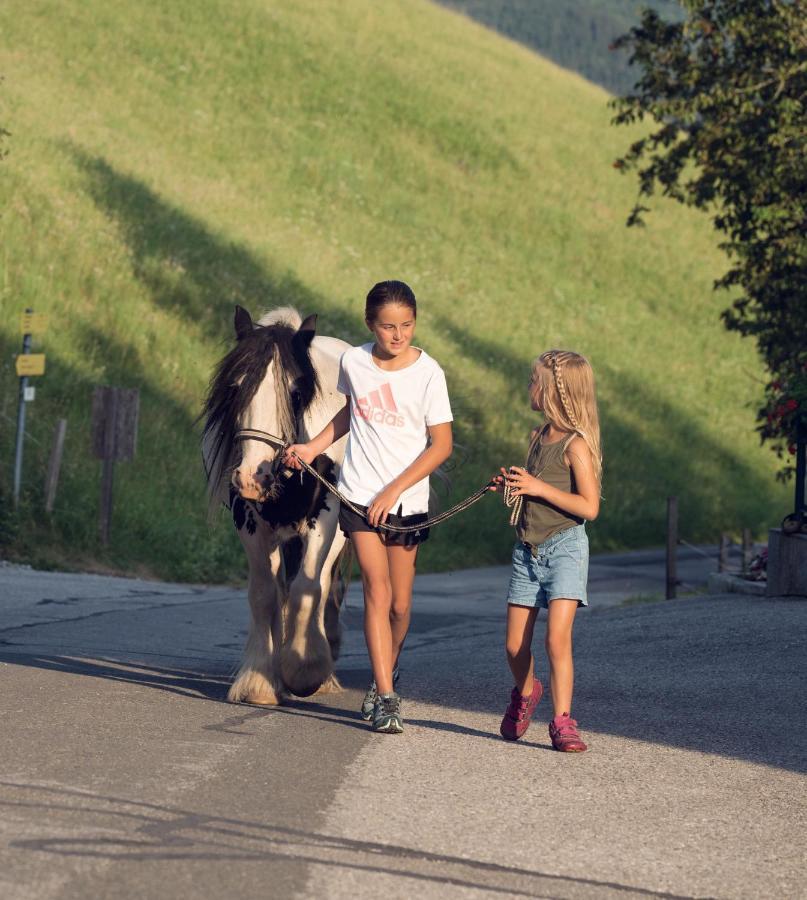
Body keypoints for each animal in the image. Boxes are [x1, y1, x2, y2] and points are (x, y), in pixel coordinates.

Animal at [201, 306, 350, 708]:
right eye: (235, 388)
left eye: (296, 392)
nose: (254, 477)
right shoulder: (250, 523)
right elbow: (265, 595)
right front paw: (260, 682)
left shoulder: (327, 520)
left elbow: (308, 587)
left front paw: (306, 669)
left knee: (323, 583)